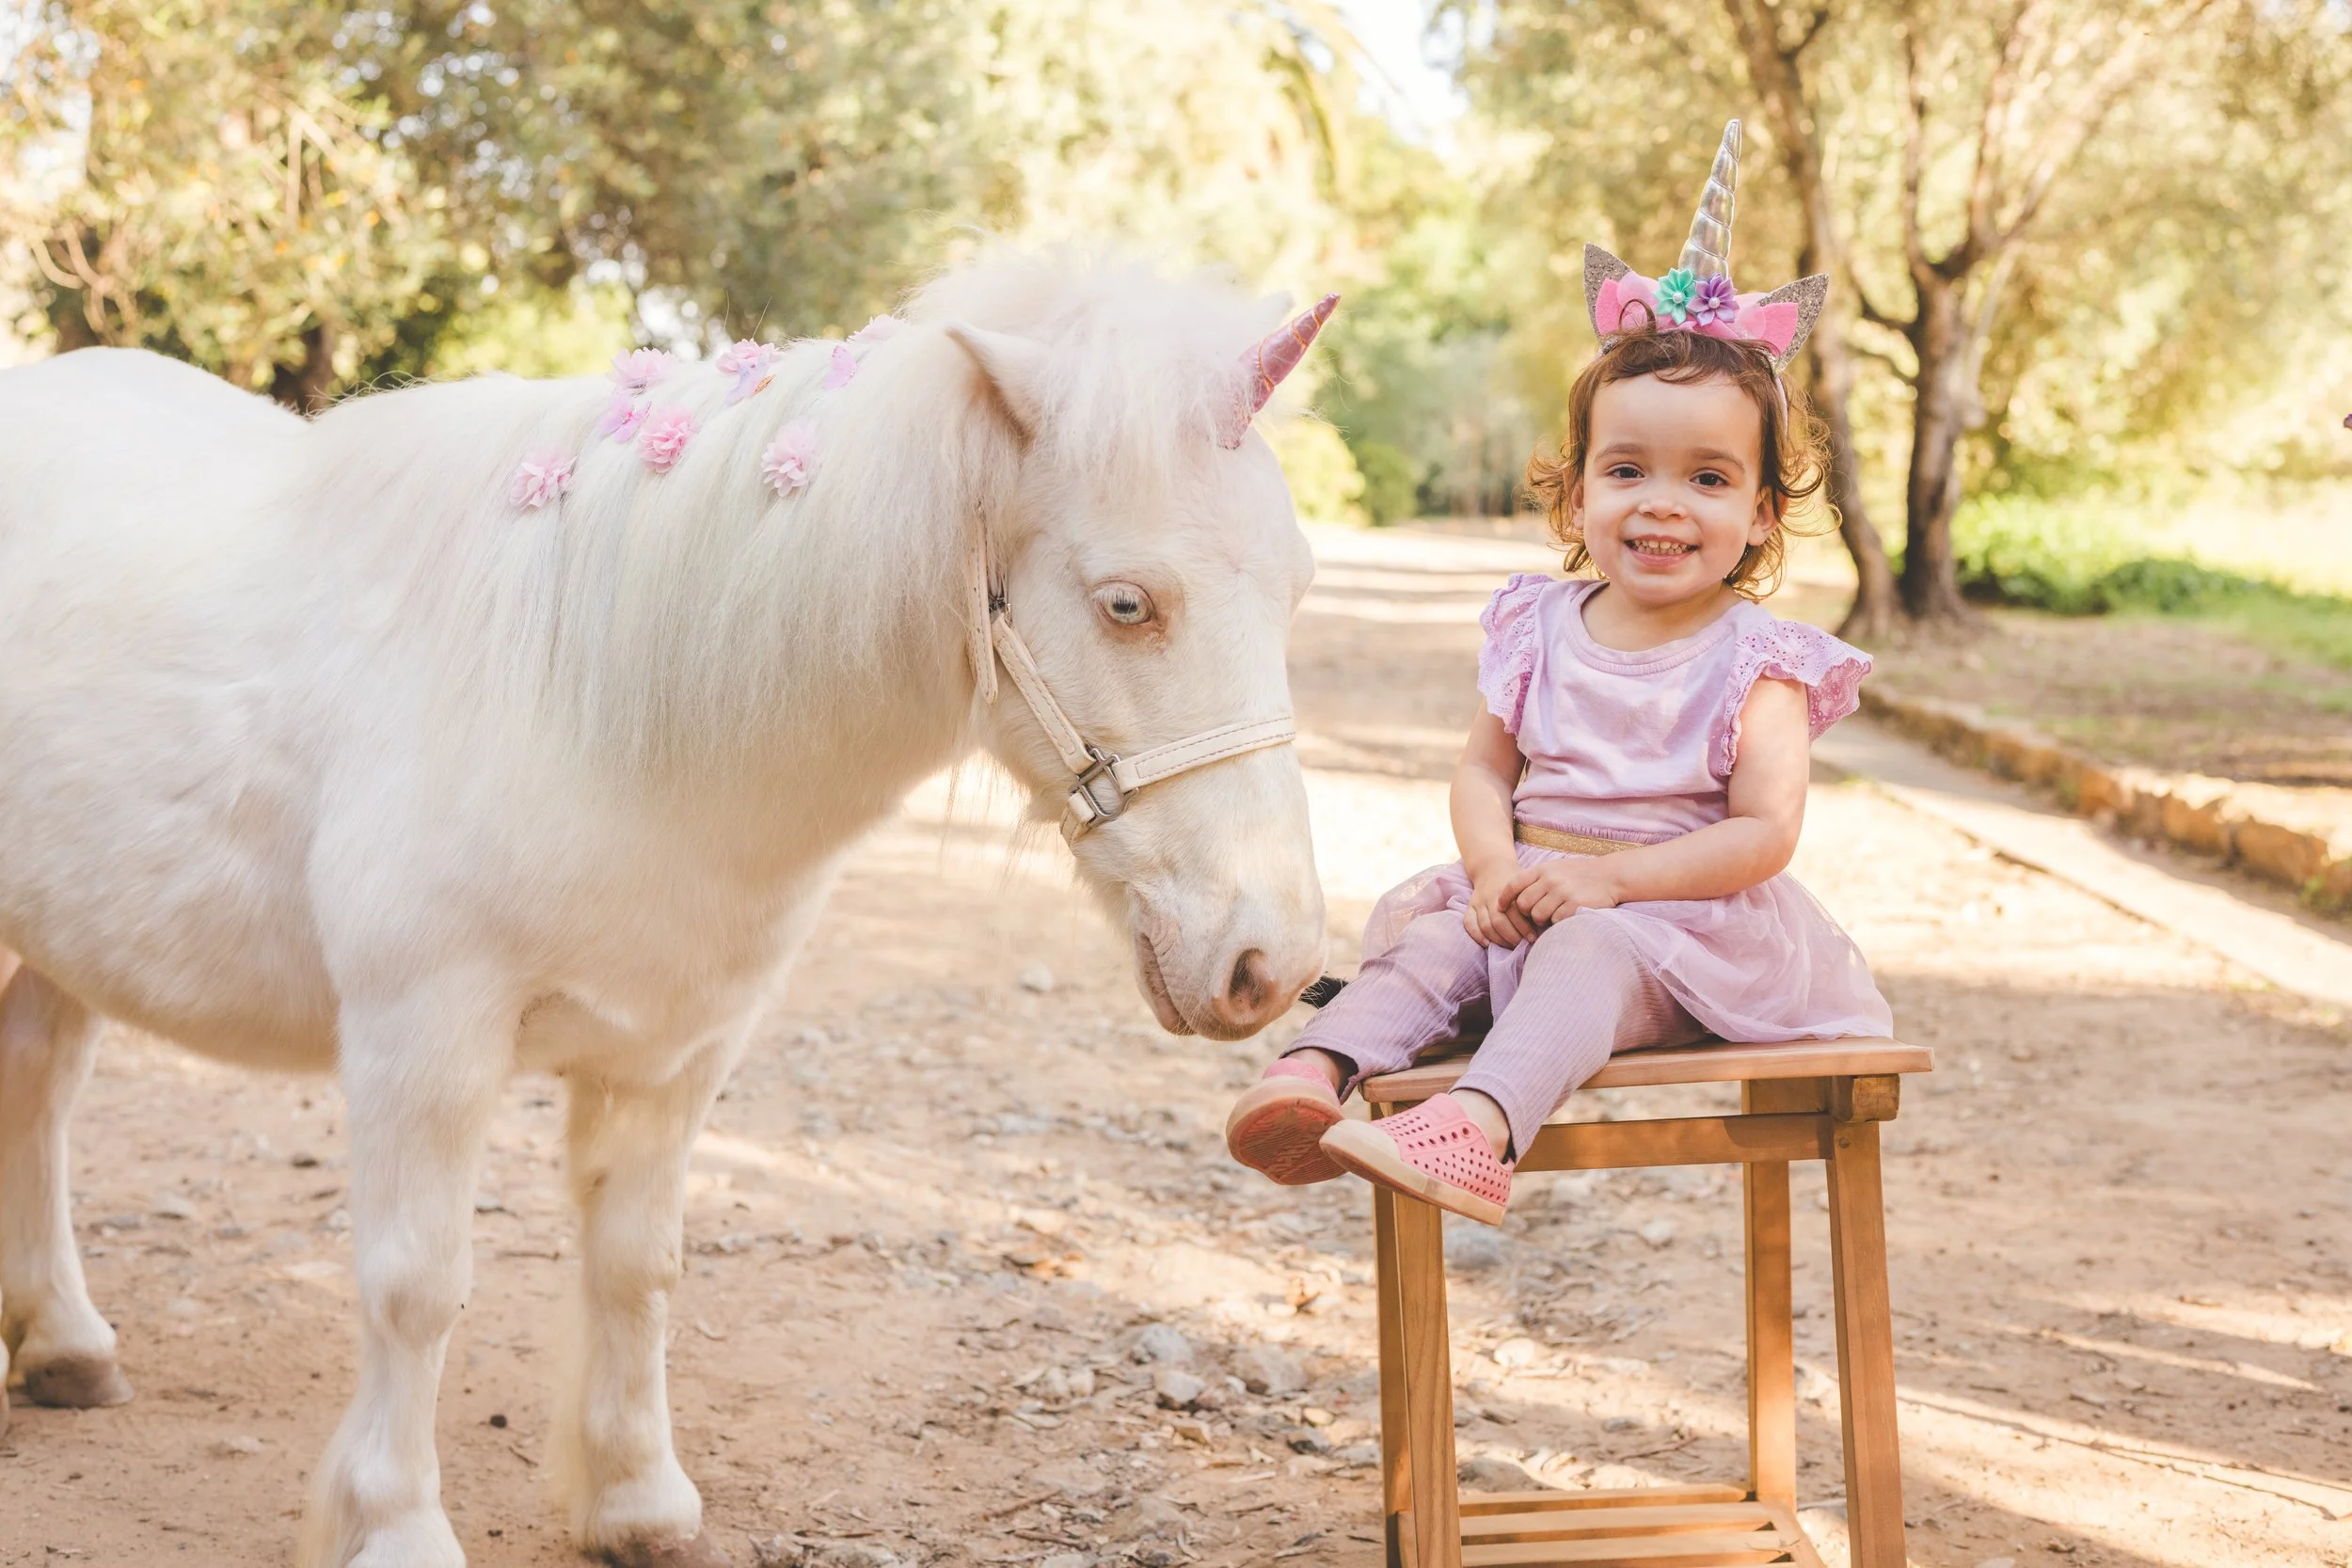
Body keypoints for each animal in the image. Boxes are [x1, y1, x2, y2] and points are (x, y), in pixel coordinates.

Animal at [0, 252, 1332, 1567]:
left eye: (1295, 590)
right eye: (1126, 603)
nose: (1269, 958)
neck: (580, 703)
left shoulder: (675, 1053)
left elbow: (638, 1268)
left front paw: (636, 1498)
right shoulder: (419, 1043)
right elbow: (414, 1285)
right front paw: (396, 1523)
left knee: (39, 1072)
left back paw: (62, 1340)